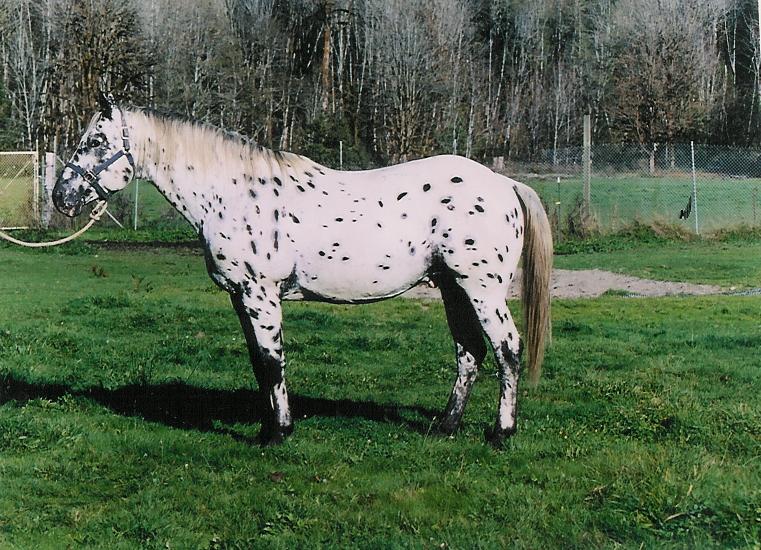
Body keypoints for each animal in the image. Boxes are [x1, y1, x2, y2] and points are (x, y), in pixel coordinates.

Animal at [55, 95, 552, 448]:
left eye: (95, 141)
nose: (63, 196)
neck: (231, 193)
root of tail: (506, 184)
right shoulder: (240, 296)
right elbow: (259, 363)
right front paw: (266, 428)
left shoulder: (260, 293)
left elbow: (273, 361)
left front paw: (279, 433)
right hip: (453, 288)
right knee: (470, 352)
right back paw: (446, 426)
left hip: (482, 288)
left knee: (507, 349)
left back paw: (501, 433)